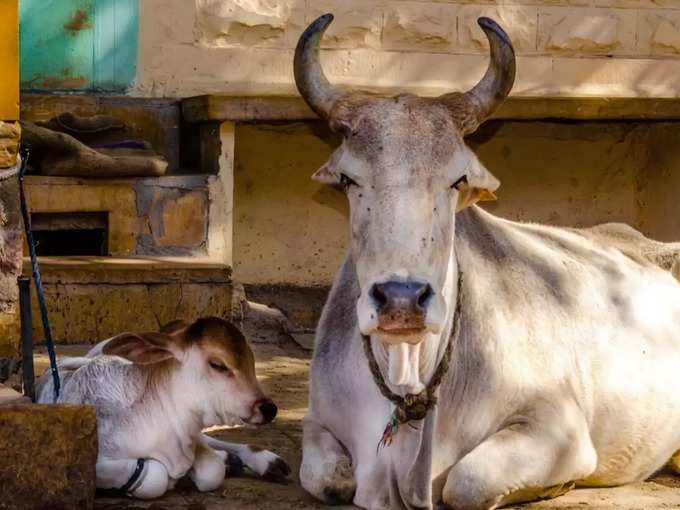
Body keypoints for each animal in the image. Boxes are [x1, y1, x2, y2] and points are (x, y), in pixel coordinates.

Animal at [35, 316, 290, 500]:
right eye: (218, 365)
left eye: (252, 360)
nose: (268, 408)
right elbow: (154, 477)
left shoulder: (190, 436)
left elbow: (212, 470)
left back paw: (265, 462)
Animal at [294, 12, 680, 510]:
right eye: (348, 179)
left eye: (457, 179)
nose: (401, 299)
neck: (407, 377)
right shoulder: (317, 420)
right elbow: (329, 479)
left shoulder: (557, 428)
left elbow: (466, 483)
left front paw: (556, 485)